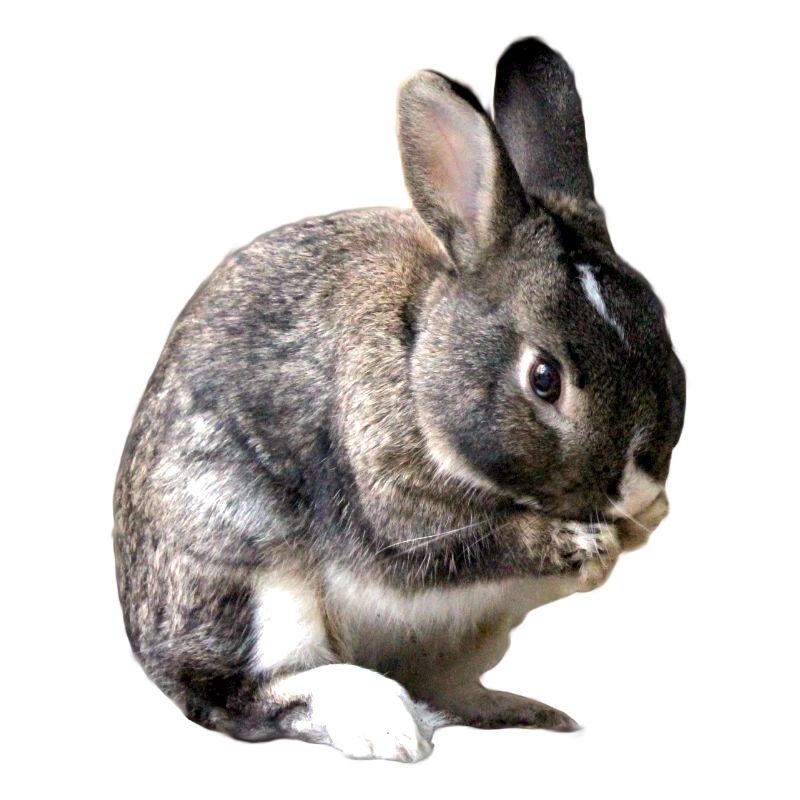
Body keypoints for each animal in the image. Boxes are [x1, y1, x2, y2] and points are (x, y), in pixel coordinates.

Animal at [113, 37, 685, 762]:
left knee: (444, 686)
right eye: (544, 377)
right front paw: (581, 539)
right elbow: (451, 548)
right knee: (242, 696)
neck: (419, 361)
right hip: (249, 574)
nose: (637, 491)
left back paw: (525, 712)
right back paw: (385, 724)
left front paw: (642, 523)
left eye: (659, 320)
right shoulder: (392, 505)